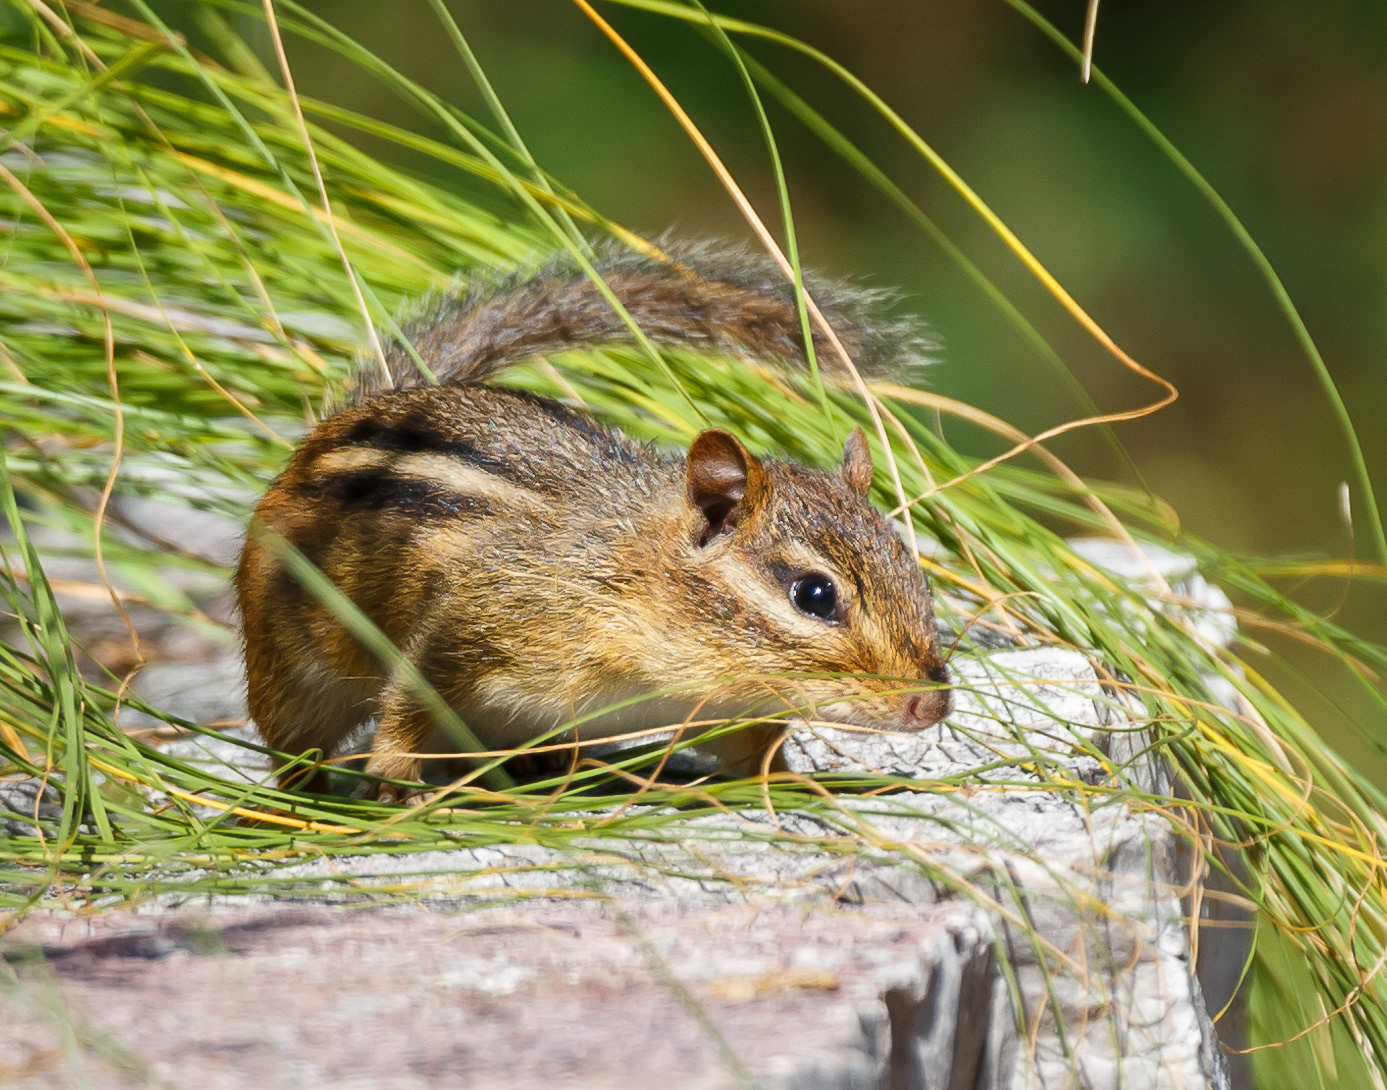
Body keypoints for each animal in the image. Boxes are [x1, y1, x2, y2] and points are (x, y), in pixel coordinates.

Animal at [235, 243, 952, 802]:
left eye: (915, 572)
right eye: (815, 595)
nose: (933, 703)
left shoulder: (734, 705)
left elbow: (755, 751)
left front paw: (789, 781)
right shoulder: (468, 623)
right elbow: (412, 699)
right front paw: (395, 778)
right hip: (288, 666)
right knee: (293, 744)